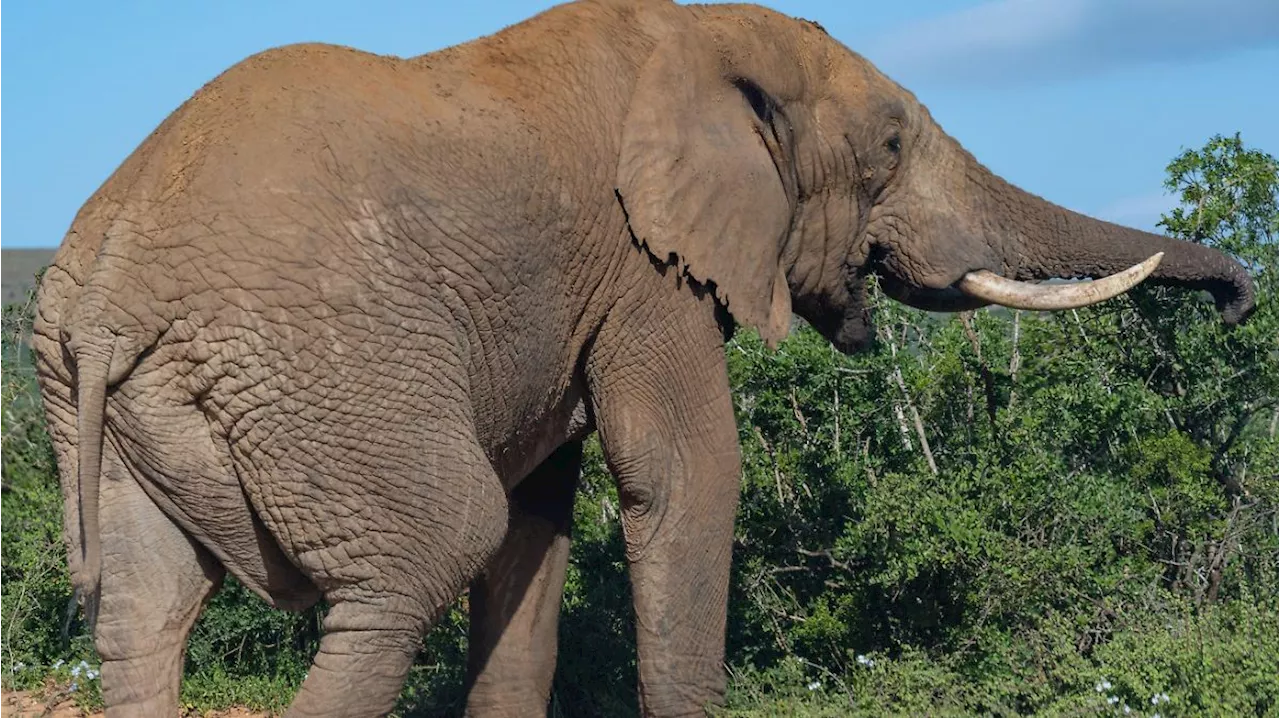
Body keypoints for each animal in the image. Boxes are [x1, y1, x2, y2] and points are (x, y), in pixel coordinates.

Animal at [35, 0, 1254, 711]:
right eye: (889, 145)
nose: (1242, 302)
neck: (707, 30)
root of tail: (105, 292)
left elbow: (537, 524)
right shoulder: (643, 268)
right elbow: (681, 476)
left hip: (125, 406)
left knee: (144, 617)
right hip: (321, 368)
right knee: (421, 553)